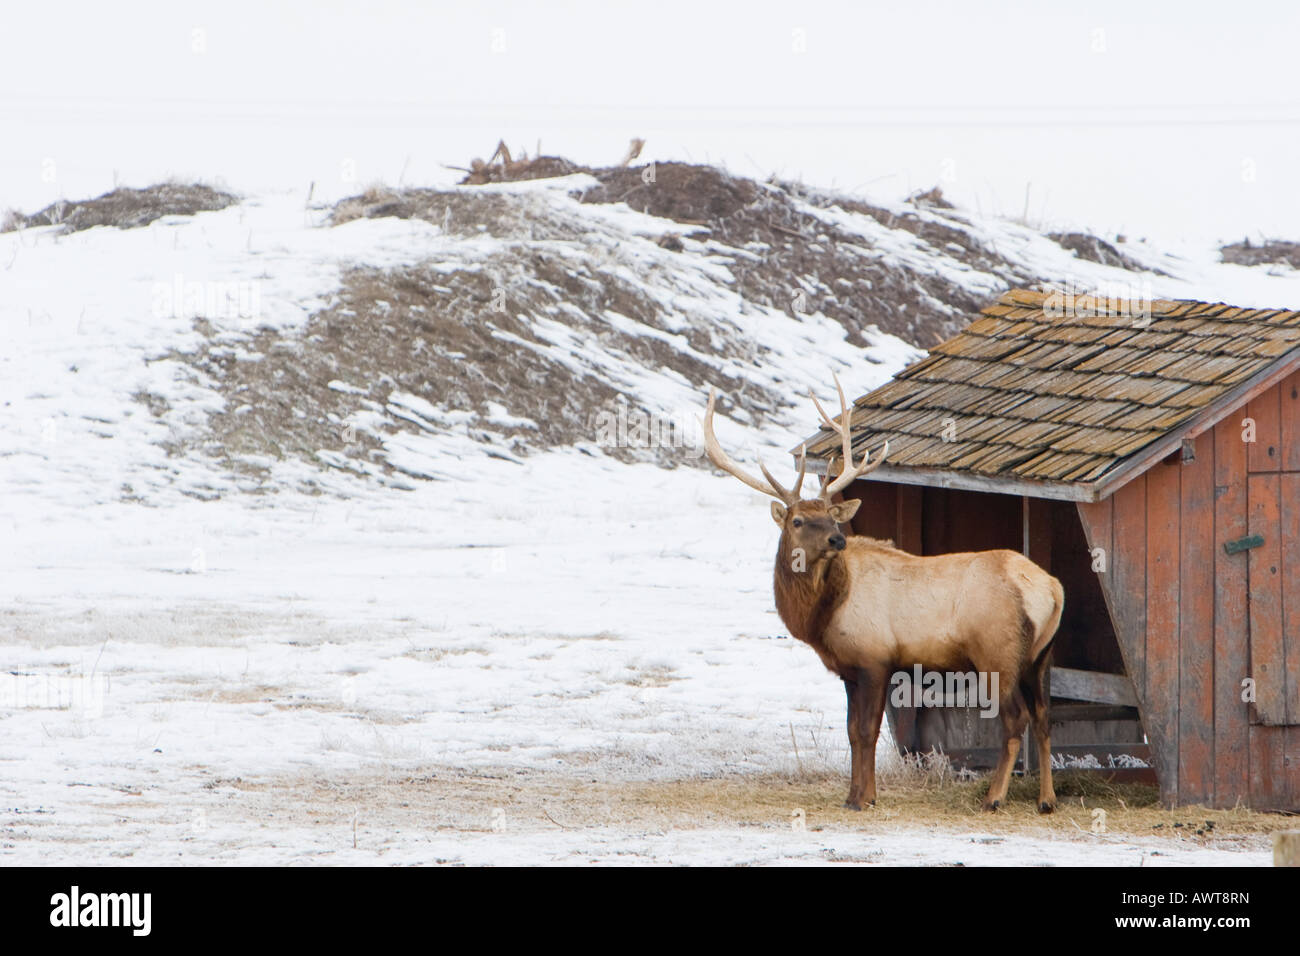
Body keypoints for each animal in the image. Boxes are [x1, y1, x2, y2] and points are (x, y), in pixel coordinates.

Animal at [702, 376, 1065, 813]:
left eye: (832, 516)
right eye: (799, 520)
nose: (838, 538)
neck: (823, 616)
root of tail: (1052, 589)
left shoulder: (874, 658)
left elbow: (865, 731)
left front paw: (863, 798)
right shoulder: (849, 669)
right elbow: (851, 731)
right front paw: (857, 795)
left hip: (998, 653)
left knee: (1016, 719)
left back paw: (994, 797)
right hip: (1039, 658)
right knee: (1044, 716)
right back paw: (1047, 799)